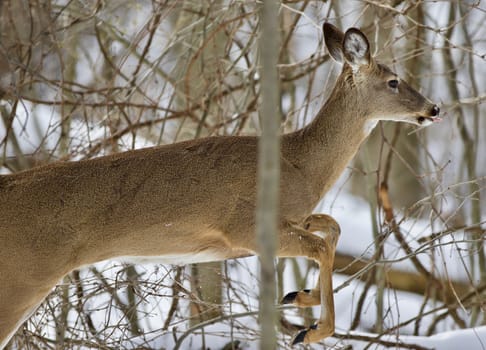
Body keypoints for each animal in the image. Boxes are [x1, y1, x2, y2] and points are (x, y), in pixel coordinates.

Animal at [0, 23, 440, 348]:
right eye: (394, 81)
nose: (434, 108)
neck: (298, 164)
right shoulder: (245, 226)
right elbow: (321, 244)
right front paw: (312, 329)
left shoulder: (289, 218)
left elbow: (331, 227)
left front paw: (300, 296)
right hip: (21, 276)